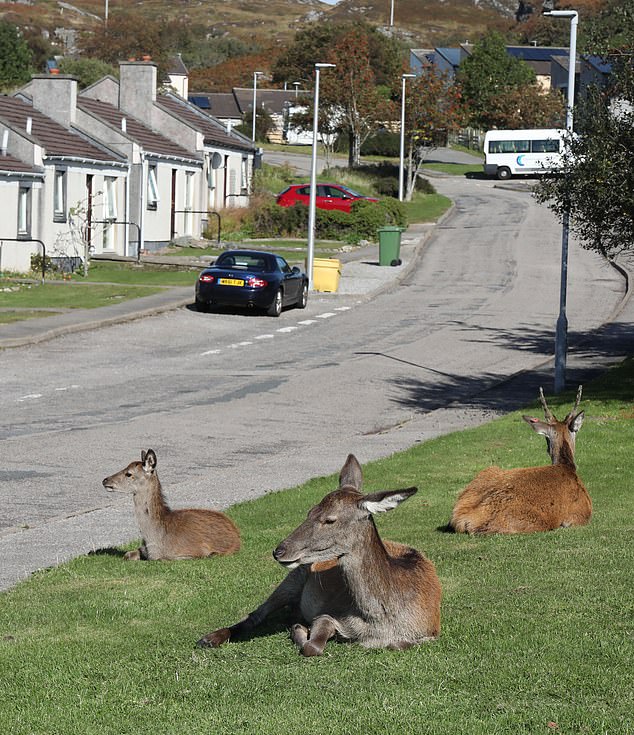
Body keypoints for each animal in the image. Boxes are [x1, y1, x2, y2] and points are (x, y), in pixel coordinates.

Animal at [102, 448, 241, 564]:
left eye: (129, 474)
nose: (105, 480)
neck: (154, 541)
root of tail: (237, 535)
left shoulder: (195, 551)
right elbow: (127, 555)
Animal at [198, 454, 440, 656]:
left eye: (330, 519)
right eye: (310, 511)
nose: (279, 551)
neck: (379, 624)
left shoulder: (432, 631)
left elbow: (398, 644)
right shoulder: (330, 614)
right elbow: (312, 646)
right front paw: (300, 631)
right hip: (293, 577)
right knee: (256, 614)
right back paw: (209, 638)